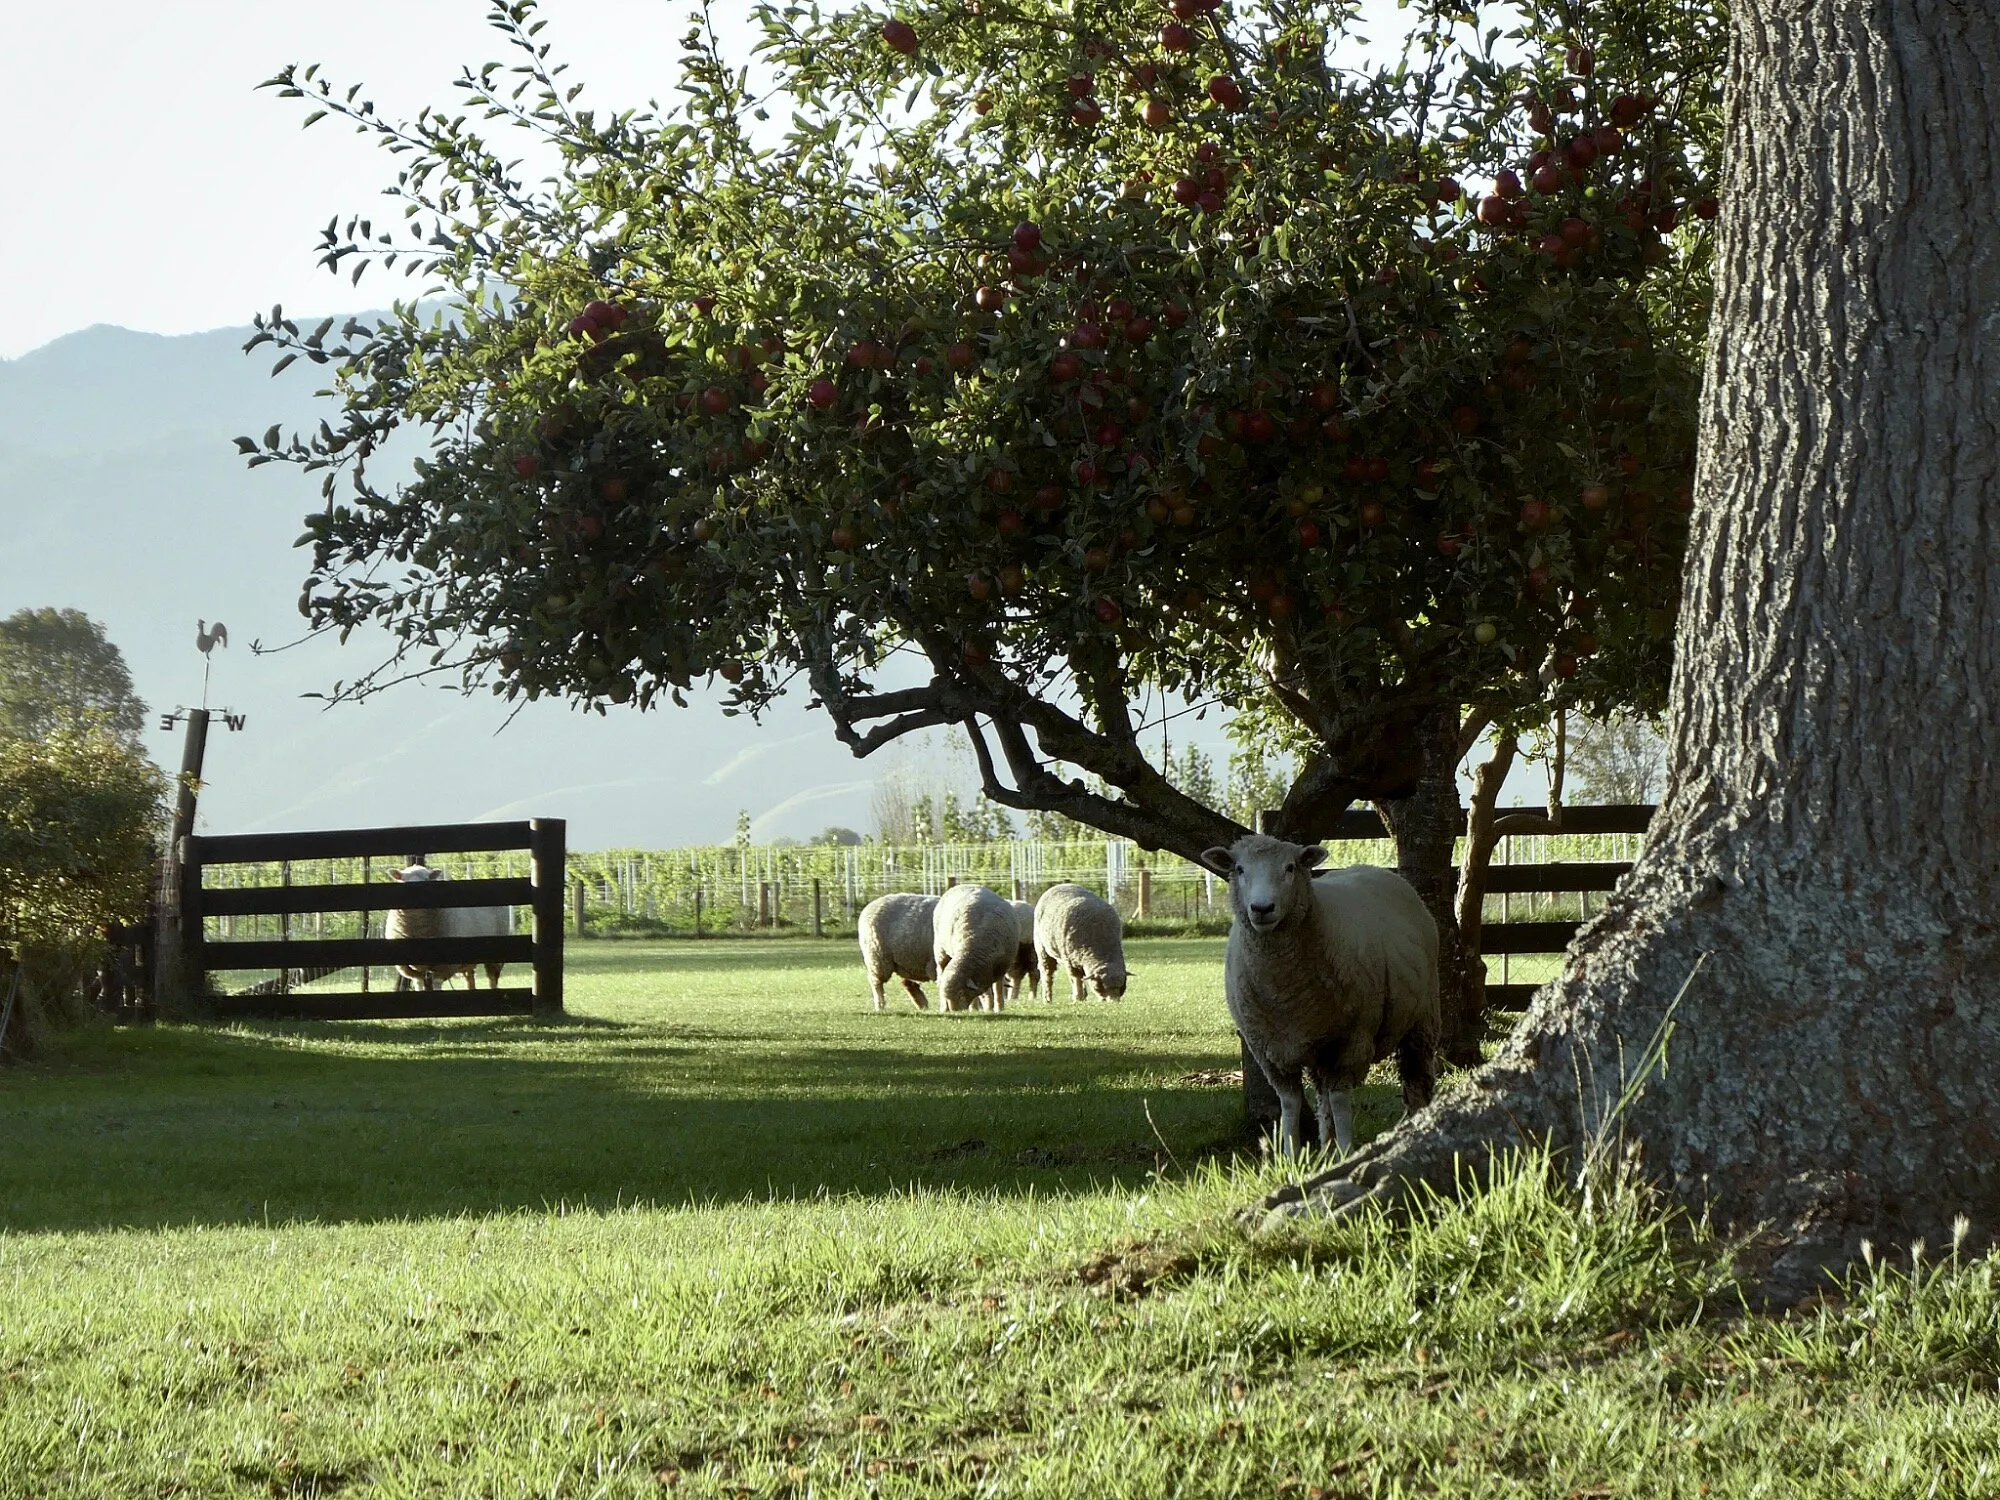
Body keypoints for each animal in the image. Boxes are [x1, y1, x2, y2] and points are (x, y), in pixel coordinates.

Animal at [386, 861, 512, 991]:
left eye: (427, 879)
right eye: (403, 879)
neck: (418, 929)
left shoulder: (444, 966)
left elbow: (437, 985)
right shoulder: (411, 970)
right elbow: (419, 985)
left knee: (492, 978)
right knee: (470, 979)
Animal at [932, 884, 1019, 1012]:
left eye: (961, 994)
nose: (957, 1012)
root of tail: (962, 885)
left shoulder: (1000, 967)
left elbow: (998, 988)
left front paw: (998, 1007)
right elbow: (983, 992)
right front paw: (978, 1008)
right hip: (940, 949)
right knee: (941, 970)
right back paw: (944, 1008)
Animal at [1198, 834, 1439, 1158]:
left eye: (1289, 868)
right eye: (1239, 869)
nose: (1262, 908)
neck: (1283, 994)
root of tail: (1378, 870)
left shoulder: (1351, 1040)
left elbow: (1340, 1100)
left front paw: (1347, 1151)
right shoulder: (1268, 1051)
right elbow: (1290, 1103)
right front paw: (1291, 1155)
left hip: (1422, 1019)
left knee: (1417, 1078)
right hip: (1318, 1044)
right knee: (1321, 1092)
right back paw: (1326, 1146)